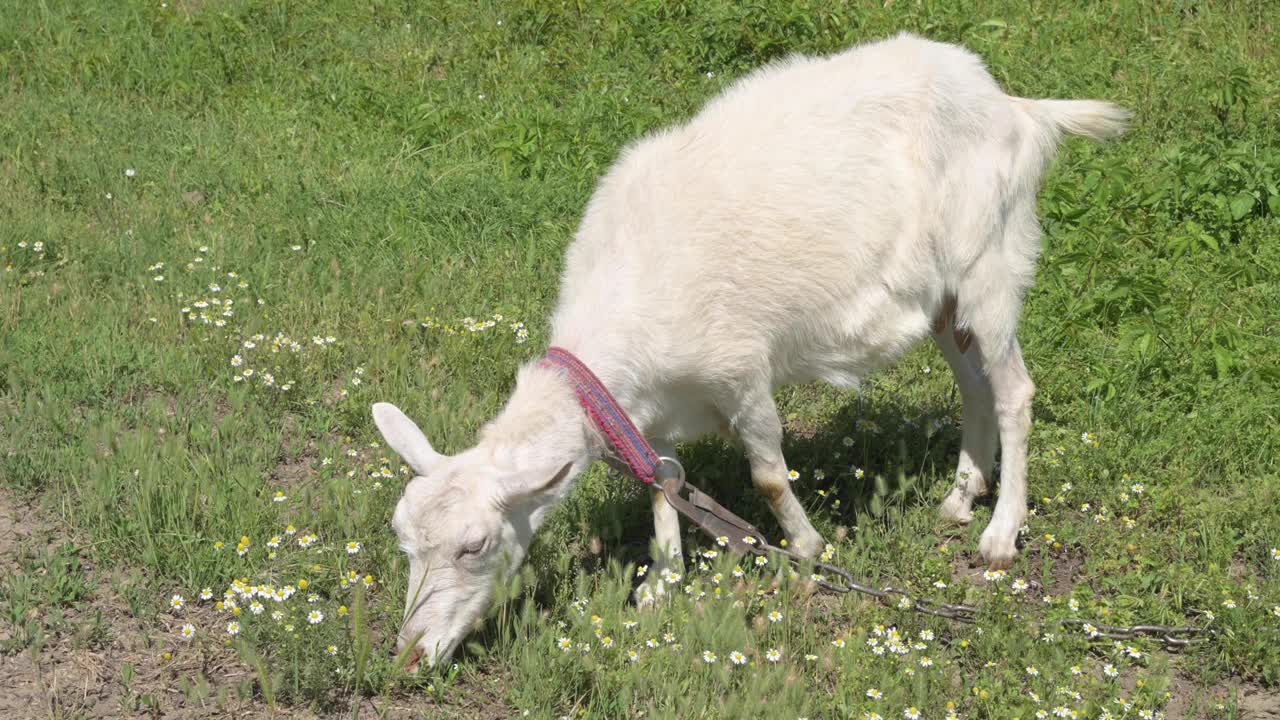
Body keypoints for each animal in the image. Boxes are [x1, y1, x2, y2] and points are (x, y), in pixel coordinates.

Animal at [373, 30, 1131, 666]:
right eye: (403, 537)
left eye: (474, 545)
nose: (410, 655)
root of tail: (1016, 108)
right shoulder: (649, 407)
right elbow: (663, 480)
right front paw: (662, 581)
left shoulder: (739, 369)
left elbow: (767, 472)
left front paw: (807, 551)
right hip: (944, 296)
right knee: (976, 386)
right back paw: (959, 497)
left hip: (989, 260)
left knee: (1015, 391)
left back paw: (999, 535)